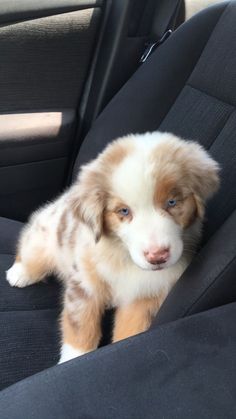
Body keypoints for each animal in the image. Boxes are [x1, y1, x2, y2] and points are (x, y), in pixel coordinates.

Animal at [5, 132, 219, 364]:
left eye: (172, 202)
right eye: (123, 211)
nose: (157, 256)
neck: (123, 258)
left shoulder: (146, 296)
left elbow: (131, 330)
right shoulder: (84, 284)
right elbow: (80, 327)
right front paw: (73, 359)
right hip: (44, 235)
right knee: (31, 251)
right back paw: (19, 273)